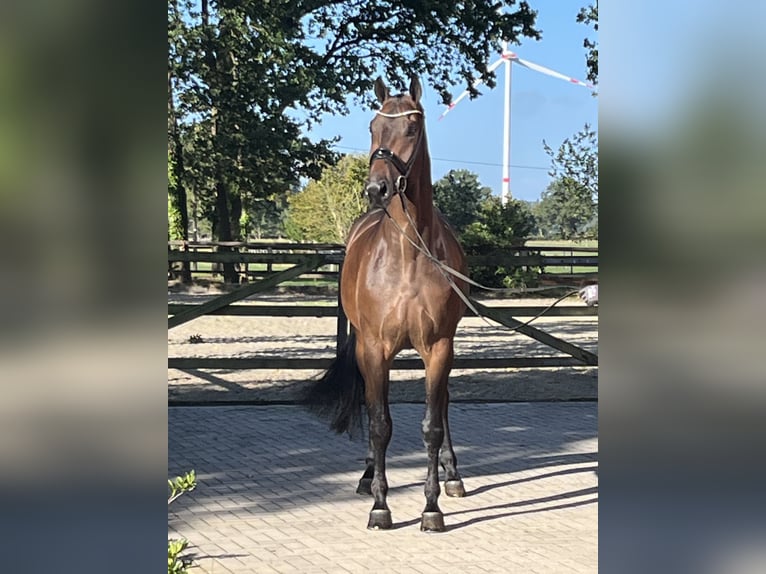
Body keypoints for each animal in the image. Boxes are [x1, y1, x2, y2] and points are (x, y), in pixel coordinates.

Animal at [306, 76, 468, 532]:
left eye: (412, 127)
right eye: (373, 127)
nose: (376, 189)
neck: (408, 256)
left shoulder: (439, 348)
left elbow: (432, 424)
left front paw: (431, 507)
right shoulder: (375, 349)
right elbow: (380, 424)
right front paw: (380, 504)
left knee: (444, 405)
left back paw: (453, 475)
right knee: (370, 403)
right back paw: (366, 476)